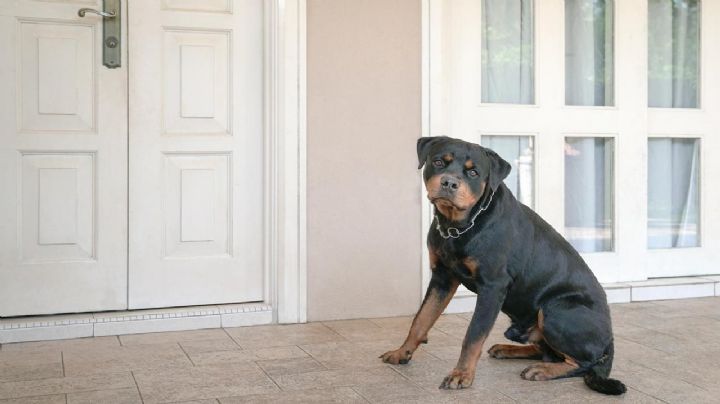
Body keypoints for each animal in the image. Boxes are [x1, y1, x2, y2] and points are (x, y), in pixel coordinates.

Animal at [382, 136, 624, 394]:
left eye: (473, 172)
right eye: (438, 162)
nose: (449, 182)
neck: (458, 226)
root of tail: (610, 339)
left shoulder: (492, 287)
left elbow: (473, 334)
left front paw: (461, 374)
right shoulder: (442, 278)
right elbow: (421, 319)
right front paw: (401, 352)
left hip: (556, 310)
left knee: (582, 362)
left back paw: (543, 370)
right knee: (547, 351)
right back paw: (508, 349)